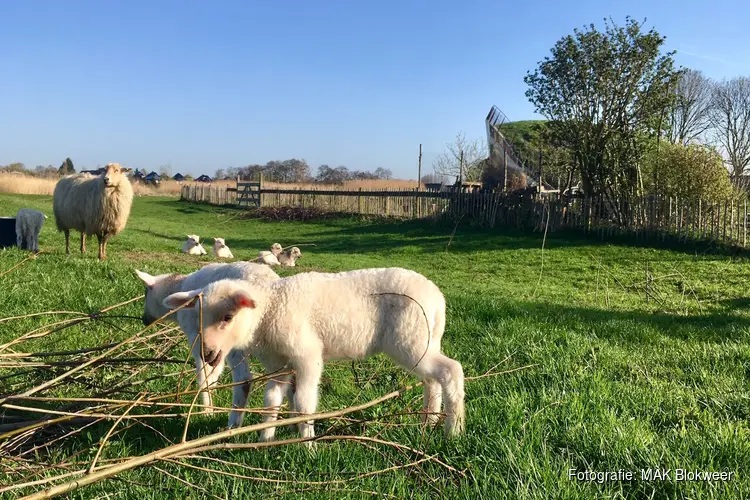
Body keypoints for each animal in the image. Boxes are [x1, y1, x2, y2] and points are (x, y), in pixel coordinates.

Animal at [134, 260, 284, 428]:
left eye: (146, 293)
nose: (144, 320)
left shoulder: (197, 337)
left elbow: (205, 374)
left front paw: (206, 410)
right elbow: (214, 373)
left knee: (243, 379)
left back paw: (233, 424)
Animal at [166, 268, 464, 444]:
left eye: (228, 317)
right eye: (197, 316)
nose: (207, 354)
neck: (270, 309)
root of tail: (437, 299)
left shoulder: (307, 355)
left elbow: (304, 401)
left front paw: (306, 444)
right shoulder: (278, 364)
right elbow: (271, 399)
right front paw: (265, 439)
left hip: (410, 339)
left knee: (451, 371)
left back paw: (454, 430)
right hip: (424, 341)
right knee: (432, 380)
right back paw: (428, 422)